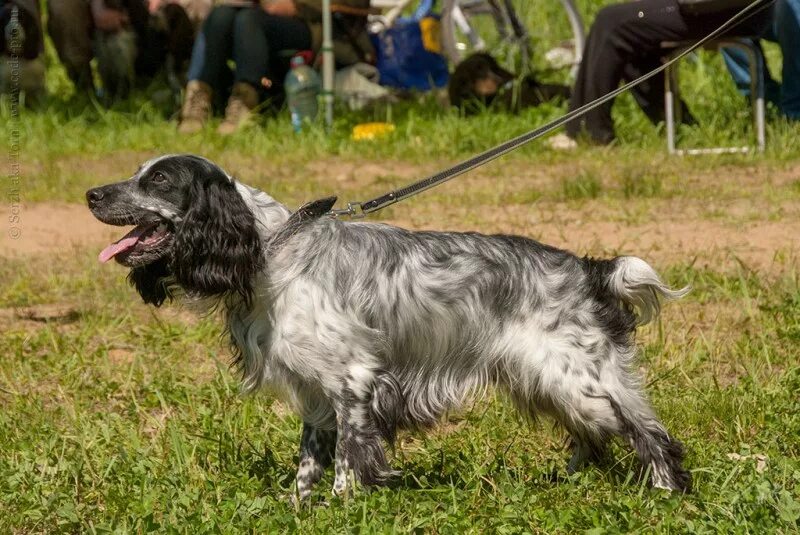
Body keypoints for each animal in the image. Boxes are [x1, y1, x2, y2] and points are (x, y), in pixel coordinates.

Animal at [84, 154, 692, 498]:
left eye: (160, 180)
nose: (91, 193)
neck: (270, 254)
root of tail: (589, 269)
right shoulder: (317, 392)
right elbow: (309, 461)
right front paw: (301, 507)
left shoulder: (355, 380)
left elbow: (350, 458)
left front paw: (346, 503)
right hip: (547, 381)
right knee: (593, 437)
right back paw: (567, 482)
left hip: (579, 376)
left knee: (650, 433)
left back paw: (665, 494)